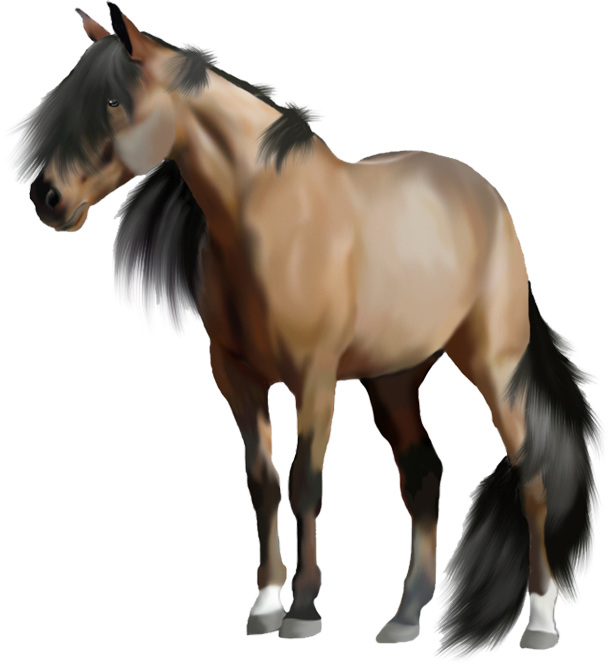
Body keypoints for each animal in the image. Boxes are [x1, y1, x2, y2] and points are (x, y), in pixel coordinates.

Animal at [21, 4, 596, 652]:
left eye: (113, 101)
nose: (46, 196)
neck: (271, 221)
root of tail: (488, 200)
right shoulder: (237, 379)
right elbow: (263, 484)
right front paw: (266, 603)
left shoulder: (314, 381)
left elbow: (304, 485)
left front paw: (302, 608)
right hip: (394, 380)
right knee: (423, 475)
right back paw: (405, 615)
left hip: (495, 368)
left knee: (532, 477)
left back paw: (541, 621)